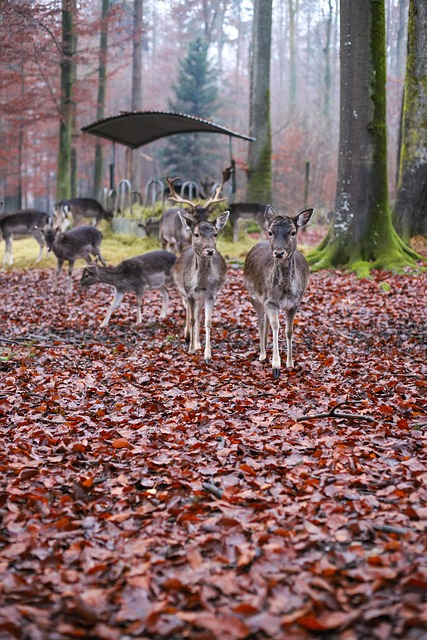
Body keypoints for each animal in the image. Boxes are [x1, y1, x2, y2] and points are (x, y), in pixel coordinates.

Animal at [173, 210, 230, 364]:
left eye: (215, 234)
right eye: (197, 234)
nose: (209, 251)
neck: (201, 283)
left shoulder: (211, 294)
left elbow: (207, 321)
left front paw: (207, 355)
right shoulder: (189, 293)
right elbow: (192, 319)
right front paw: (191, 349)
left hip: (201, 298)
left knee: (198, 314)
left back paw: (197, 343)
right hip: (184, 292)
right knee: (189, 311)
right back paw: (188, 337)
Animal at [243, 205, 314, 378]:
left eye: (293, 232)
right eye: (270, 232)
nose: (279, 253)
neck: (285, 290)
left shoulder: (295, 303)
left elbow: (289, 330)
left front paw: (290, 363)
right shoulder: (270, 301)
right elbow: (276, 326)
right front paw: (276, 366)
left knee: (266, 322)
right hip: (253, 296)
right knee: (262, 321)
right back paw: (262, 354)